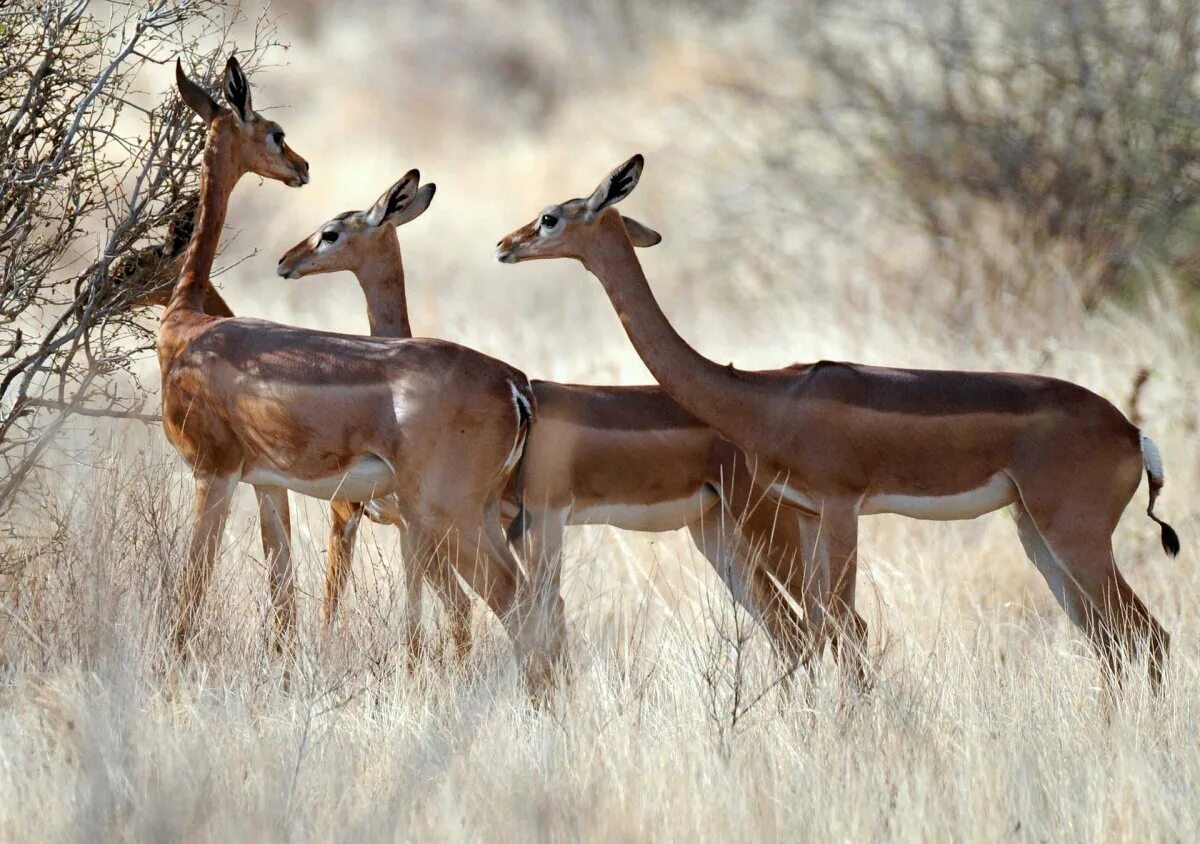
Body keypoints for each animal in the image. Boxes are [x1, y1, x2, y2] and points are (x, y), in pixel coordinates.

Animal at [496, 154, 1180, 691]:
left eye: (551, 216)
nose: (506, 245)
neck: (767, 396)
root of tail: (1132, 433)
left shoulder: (843, 504)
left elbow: (845, 625)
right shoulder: (808, 512)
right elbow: (827, 625)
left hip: (1074, 535)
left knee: (1147, 636)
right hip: (1035, 533)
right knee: (1110, 639)